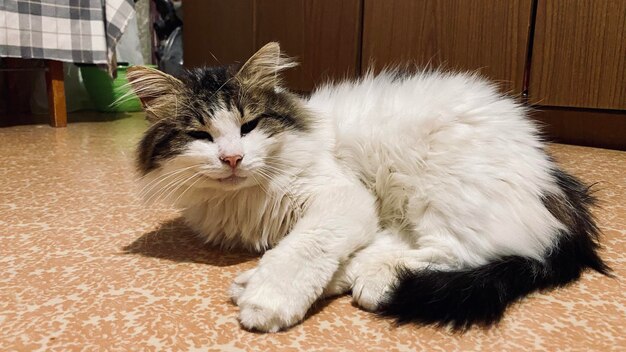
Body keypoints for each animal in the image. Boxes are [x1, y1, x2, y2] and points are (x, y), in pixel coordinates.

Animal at [127, 42, 608, 332]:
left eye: (249, 126)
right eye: (200, 135)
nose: (232, 158)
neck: (243, 198)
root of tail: (555, 181)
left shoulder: (341, 199)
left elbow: (304, 248)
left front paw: (269, 298)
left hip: (437, 189)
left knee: (457, 252)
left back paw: (369, 283)